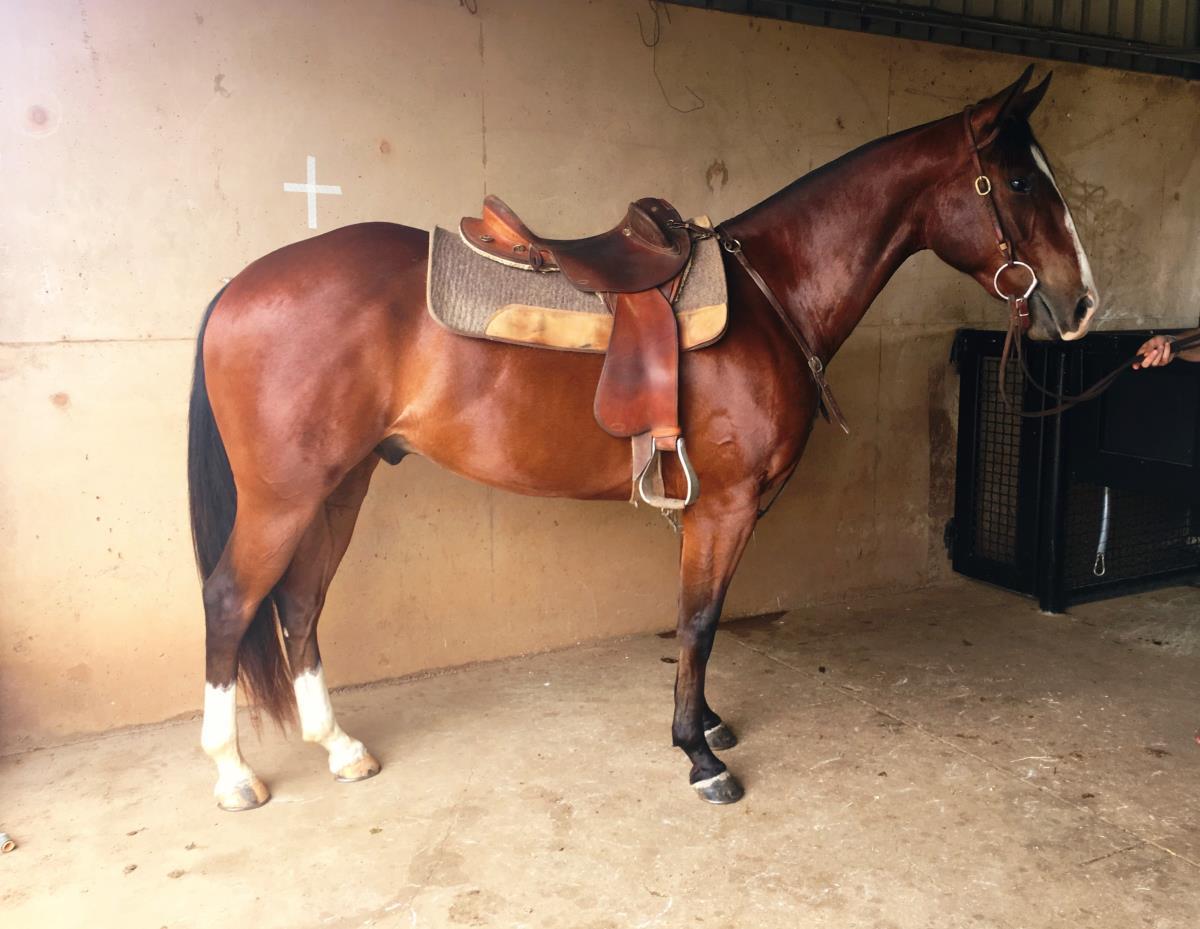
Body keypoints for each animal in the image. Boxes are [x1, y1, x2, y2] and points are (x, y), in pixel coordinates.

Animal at [188, 67, 1097, 811]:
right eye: (1020, 179)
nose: (1083, 303)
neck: (771, 295)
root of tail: (240, 286)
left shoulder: (721, 510)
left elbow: (702, 619)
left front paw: (709, 724)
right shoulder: (722, 506)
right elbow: (698, 622)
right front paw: (699, 755)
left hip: (342, 484)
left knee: (300, 604)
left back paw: (340, 748)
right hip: (284, 496)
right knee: (233, 599)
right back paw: (233, 772)